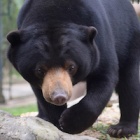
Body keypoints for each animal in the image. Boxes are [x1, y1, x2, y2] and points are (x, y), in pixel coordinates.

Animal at [6, 0, 140, 138]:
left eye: (71, 67)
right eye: (40, 70)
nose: (59, 96)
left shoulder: (100, 38)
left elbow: (104, 76)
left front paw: (69, 122)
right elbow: (43, 96)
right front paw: (57, 123)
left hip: (129, 39)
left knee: (130, 83)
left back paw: (121, 129)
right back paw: (42, 117)